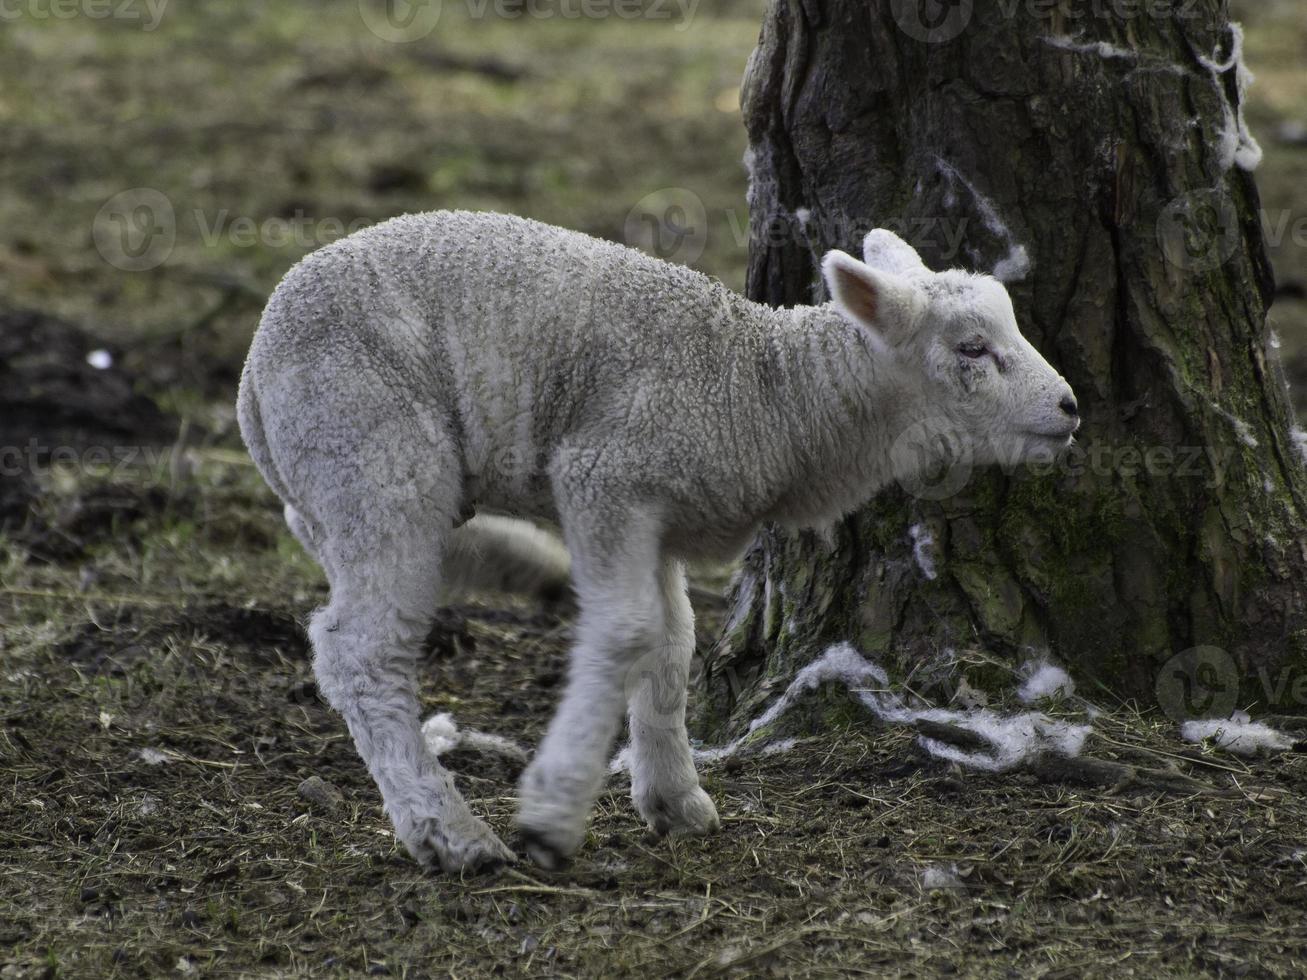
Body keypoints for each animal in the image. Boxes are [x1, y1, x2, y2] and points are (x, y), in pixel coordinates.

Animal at [237, 209, 1082, 872]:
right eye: (971, 349)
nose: (1070, 407)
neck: (767, 396)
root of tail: (252, 370)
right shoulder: (604, 478)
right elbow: (626, 632)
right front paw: (551, 814)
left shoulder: (665, 519)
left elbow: (672, 644)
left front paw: (674, 797)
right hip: (373, 459)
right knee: (361, 652)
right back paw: (449, 834)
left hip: (337, 494)